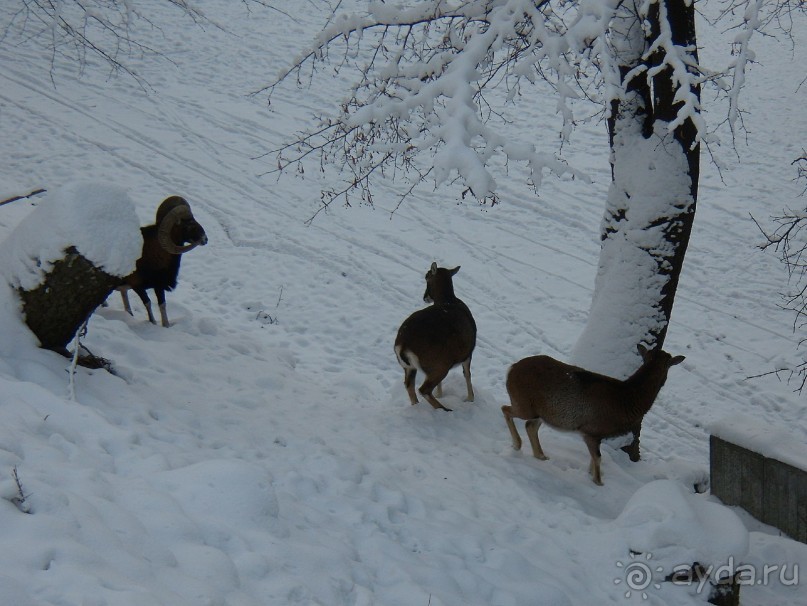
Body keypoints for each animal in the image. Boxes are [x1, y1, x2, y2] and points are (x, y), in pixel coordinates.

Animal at [394, 262, 476, 410]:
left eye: (426, 277)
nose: (425, 297)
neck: (448, 300)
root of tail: (402, 345)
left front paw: (440, 394)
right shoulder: (468, 352)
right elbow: (467, 374)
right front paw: (470, 398)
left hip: (409, 367)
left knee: (409, 385)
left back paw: (417, 406)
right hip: (439, 364)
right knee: (423, 389)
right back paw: (445, 409)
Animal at [502, 346, 684, 484]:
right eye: (669, 365)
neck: (625, 401)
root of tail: (511, 369)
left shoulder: (596, 436)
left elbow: (593, 457)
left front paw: (592, 475)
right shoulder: (591, 432)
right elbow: (598, 458)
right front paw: (598, 482)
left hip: (541, 413)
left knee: (530, 426)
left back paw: (541, 455)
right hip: (524, 404)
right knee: (505, 409)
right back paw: (517, 445)